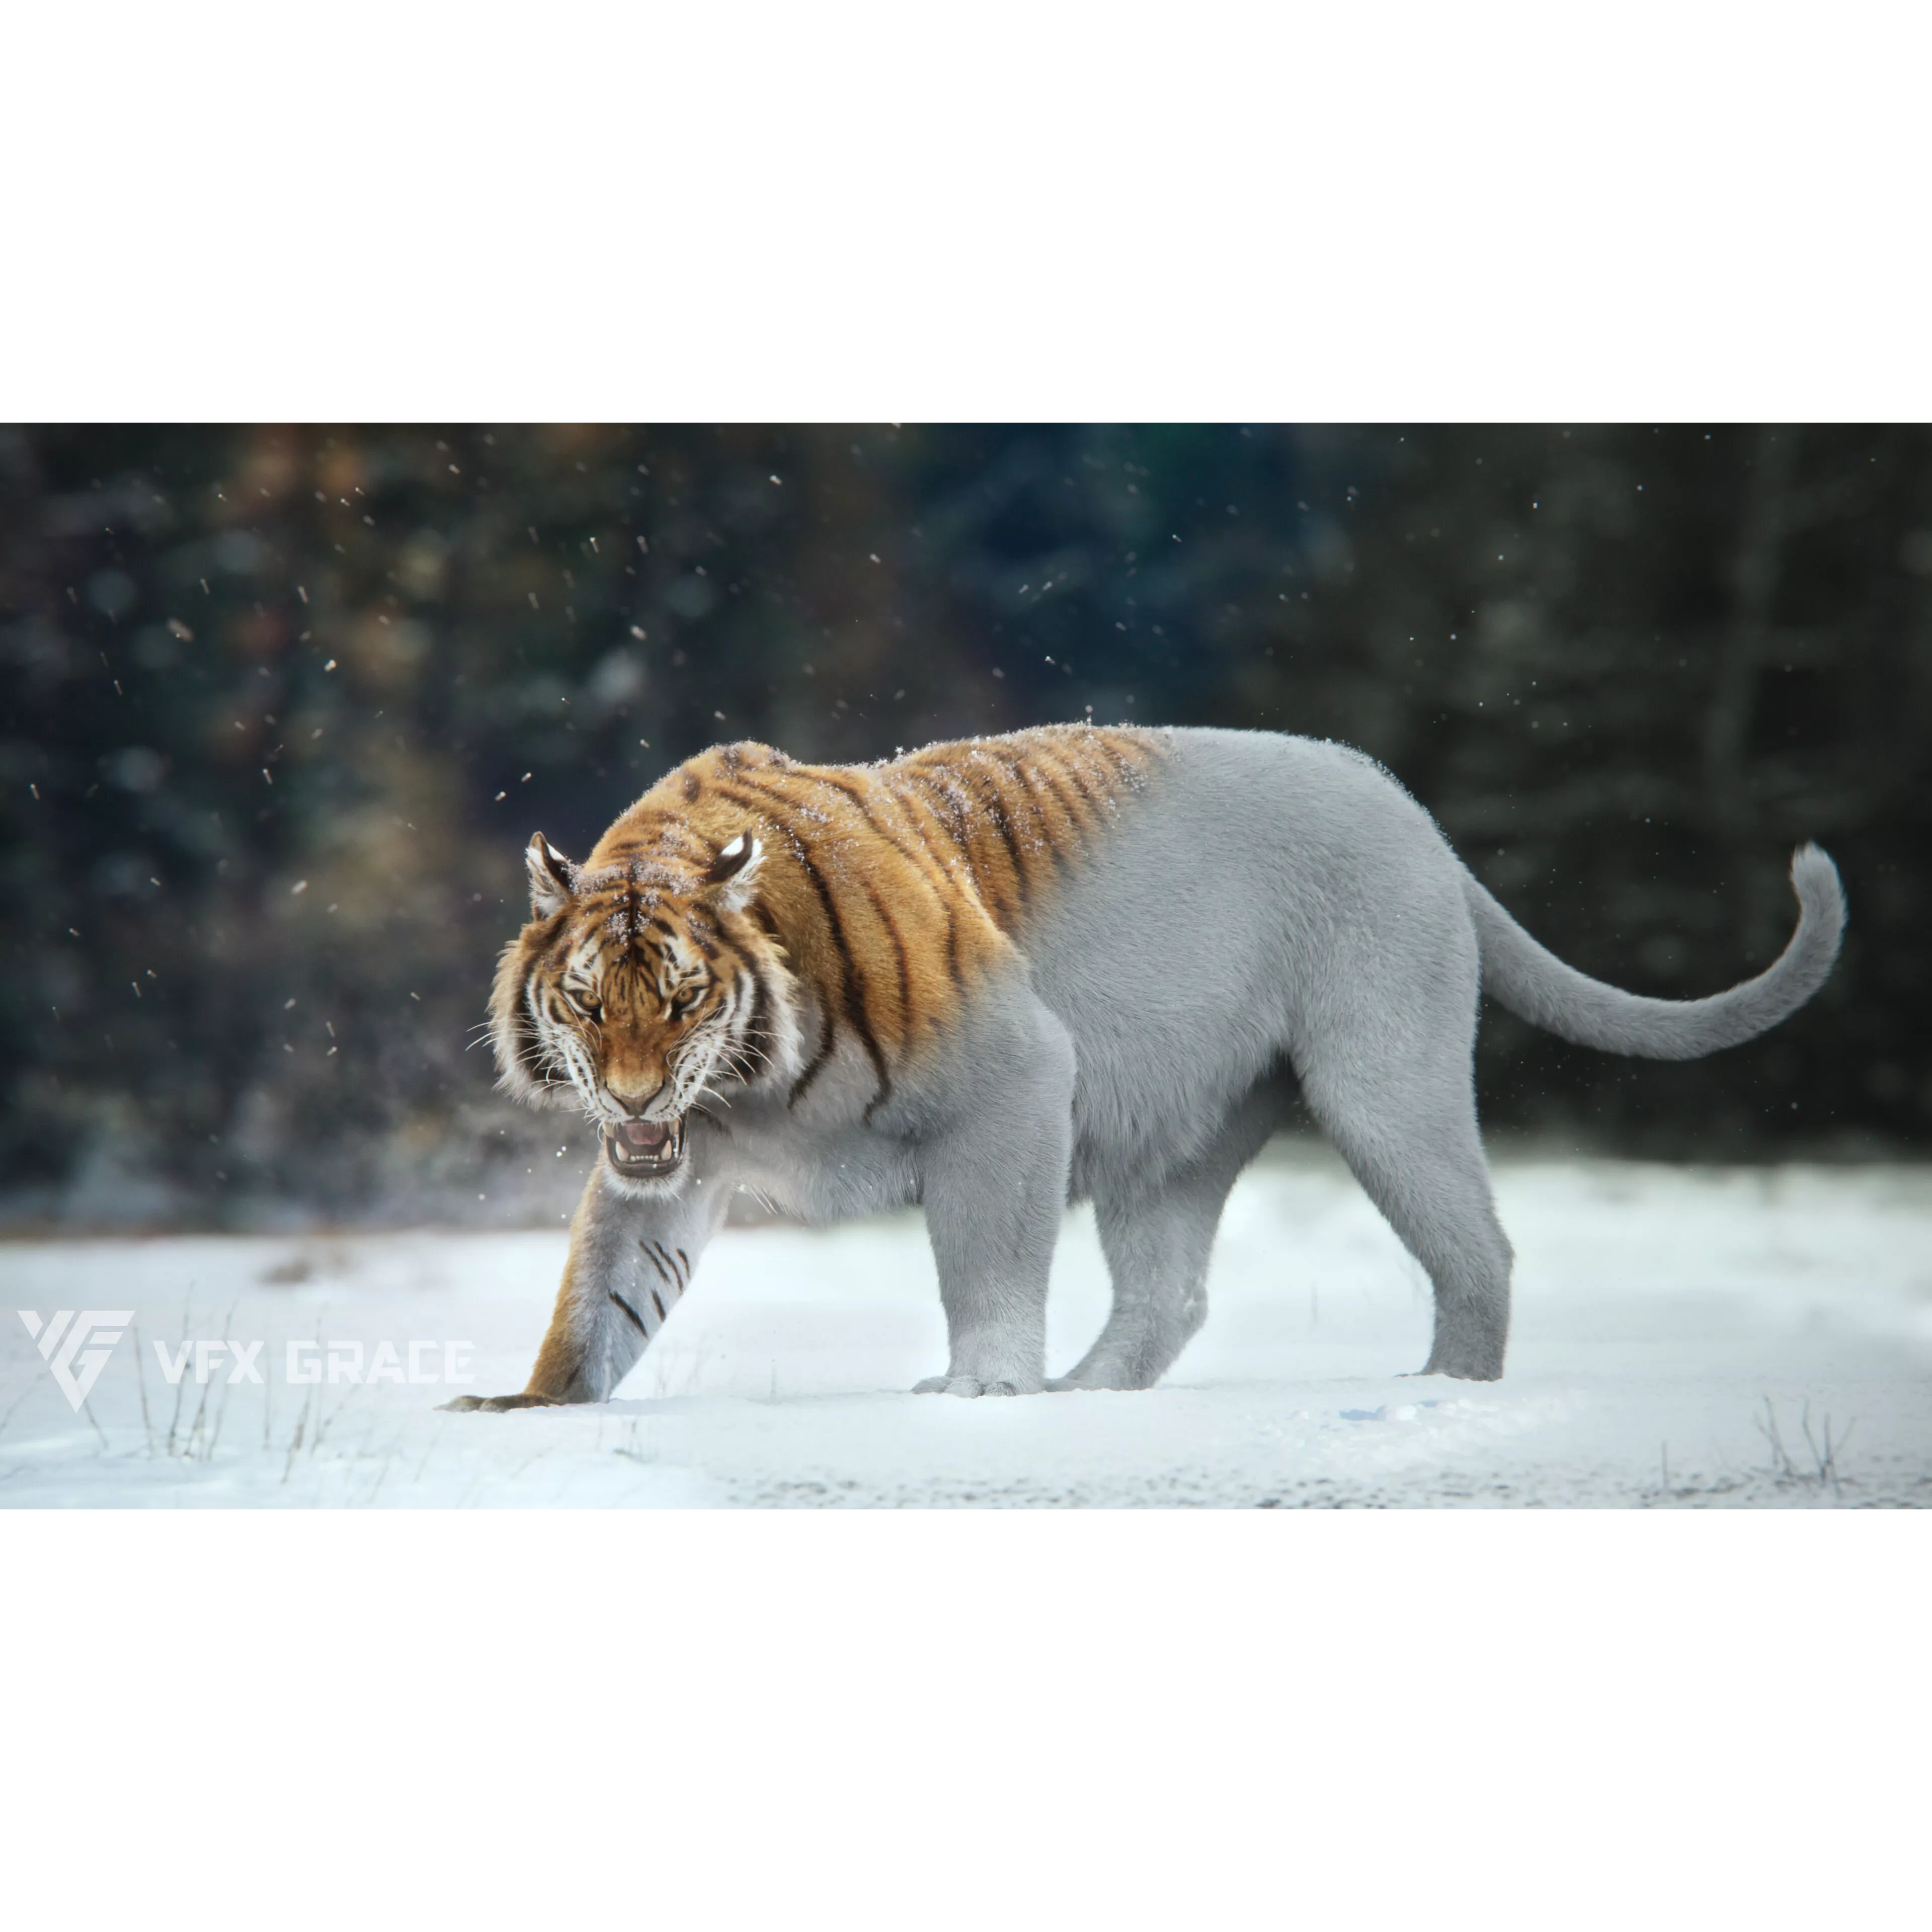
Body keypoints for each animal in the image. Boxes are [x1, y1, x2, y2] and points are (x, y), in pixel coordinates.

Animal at [443, 723, 1845, 1410]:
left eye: (681, 998)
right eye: (586, 1003)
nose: (632, 1096)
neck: (740, 1085)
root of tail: (1417, 816)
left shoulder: (1014, 1084)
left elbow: (987, 1269)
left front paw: (985, 1393)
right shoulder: (666, 1170)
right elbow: (598, 1300)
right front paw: (532, 1408)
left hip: (1382, 1080)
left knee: (1478, 1246)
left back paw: (1447, 1391)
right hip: (1170, 1139)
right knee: (1170, 1296)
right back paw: (1089, 1397)